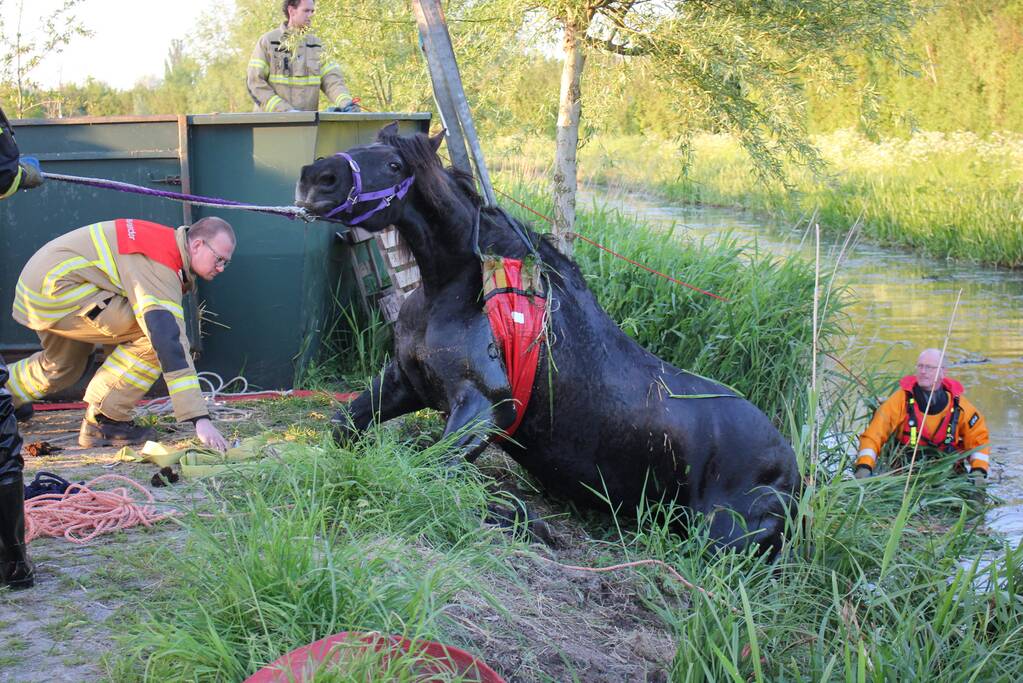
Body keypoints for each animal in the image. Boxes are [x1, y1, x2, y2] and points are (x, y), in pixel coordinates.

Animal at [296, 122, 797, 556]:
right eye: (360, 147)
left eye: (396, 165)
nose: (317, 179)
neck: (461, 291)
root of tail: (792, 467)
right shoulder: (406, 380)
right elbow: (345, 427)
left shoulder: (487, 407)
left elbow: (430, 466)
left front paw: (520, 519)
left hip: (720, 537)